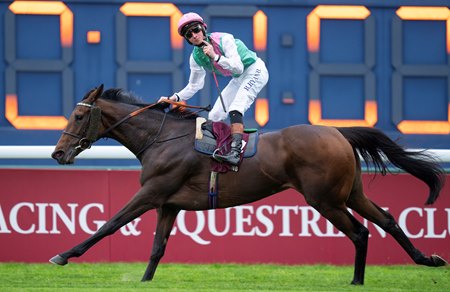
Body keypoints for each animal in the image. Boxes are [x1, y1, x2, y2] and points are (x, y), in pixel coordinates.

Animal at [50, 85, 446, 286]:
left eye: (79, 115)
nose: (57, 153)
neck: (161, 138)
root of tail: (337, 131)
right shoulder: (169, 203)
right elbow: (157, 248)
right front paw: (146, 281)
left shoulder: (152, 193)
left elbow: (109, 224)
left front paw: (64, 255)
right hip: (350, 192)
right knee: (387, 219)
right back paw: (426, 259)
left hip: (325, 199)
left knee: (360, 232)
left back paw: (357, 281)